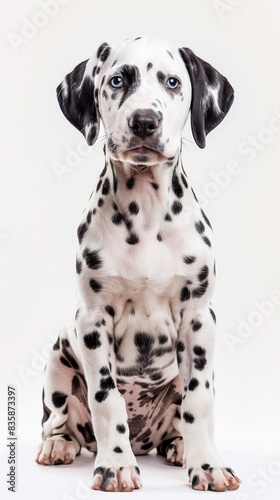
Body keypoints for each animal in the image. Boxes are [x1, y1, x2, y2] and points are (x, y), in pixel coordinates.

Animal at [35, 34, 241, 492]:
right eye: (117, 80)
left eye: (172, 82)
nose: (144, 122)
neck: (146, 213)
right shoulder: (91, 320)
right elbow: (106, 399)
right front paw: (114, 465)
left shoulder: (199, 317)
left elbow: (199, 400)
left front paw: (207, 465)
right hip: (58, 360)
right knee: (58, 418)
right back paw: (58, 445)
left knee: (180, 418)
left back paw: (179, 446)